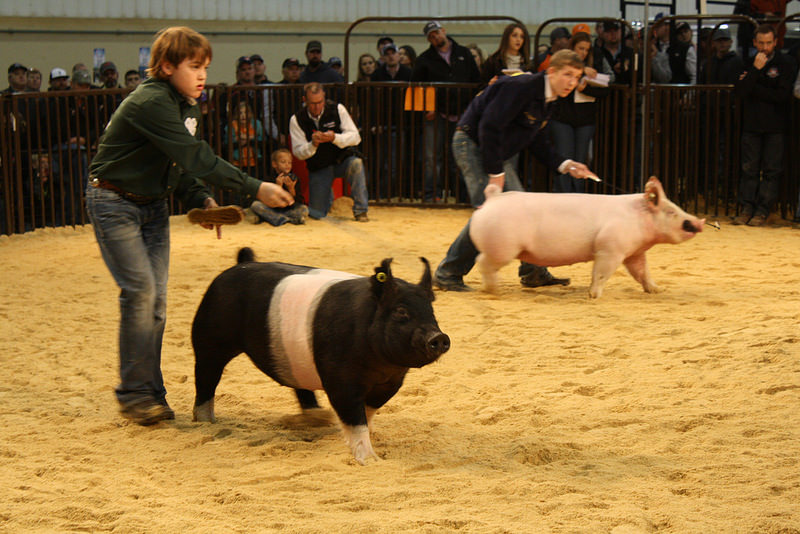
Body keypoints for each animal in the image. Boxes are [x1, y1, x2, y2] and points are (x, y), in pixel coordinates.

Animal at [191, 248, 450, 464]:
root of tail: (238, 265)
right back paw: (206, 422)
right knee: (206, 379)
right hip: (209, 339)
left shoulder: (391, 383)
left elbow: (367, 412)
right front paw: (371, 460)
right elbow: (355, 417)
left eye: (431, 311)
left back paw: (318, 416)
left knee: (300, 386)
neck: (379, 365)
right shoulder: (340, 380)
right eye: (401, 311)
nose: (439, 337)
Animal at [470, 176, 705, 298]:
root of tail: (492, 199)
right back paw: (494, 290)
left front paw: (656, 290)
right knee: (482, 262)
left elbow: (642, 272)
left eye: (676, 207)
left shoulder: (634, 253)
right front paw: (594, 295)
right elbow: (601, 273)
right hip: (502, 248)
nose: (698, 222)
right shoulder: (610, 248)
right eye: (671, 212)